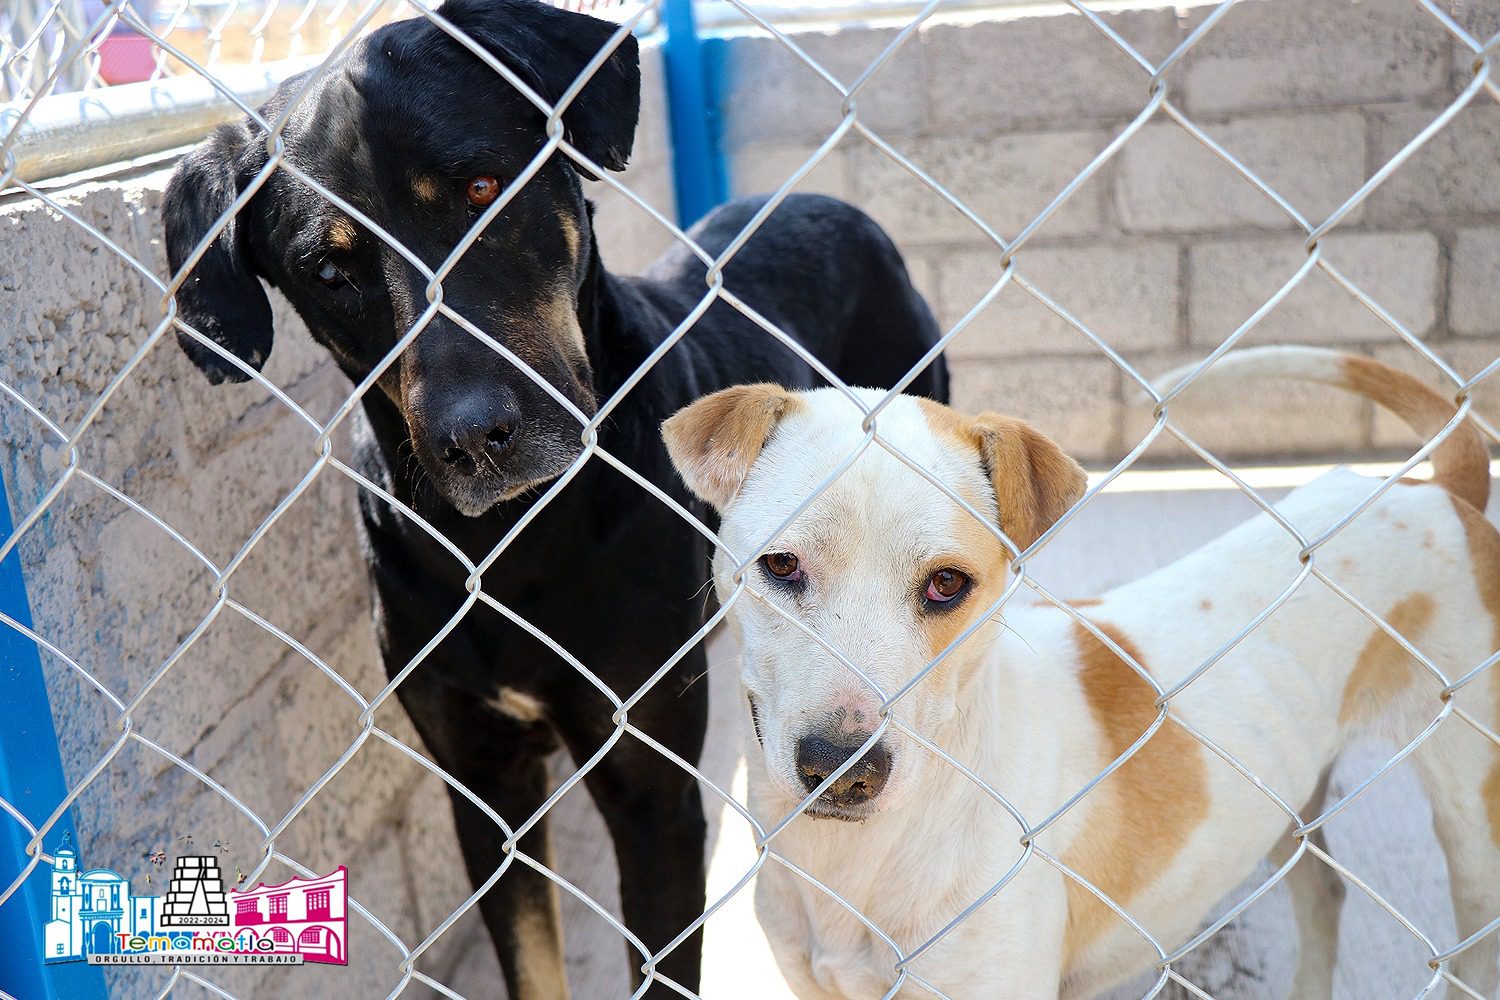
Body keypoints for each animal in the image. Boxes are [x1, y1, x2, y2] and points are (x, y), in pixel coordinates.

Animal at [164, 3, 948, 995]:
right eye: (327, 272)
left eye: (483, 188)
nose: (471, 437)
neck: (512, 542)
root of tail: (829, 202)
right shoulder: (482, 786)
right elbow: (529, 959)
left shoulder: (649, 792)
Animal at [669, 346, 1500, 1000]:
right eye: (781, 566)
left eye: (947, 584)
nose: (844, 771)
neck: (855, 864)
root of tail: (1439, 491)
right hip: (1288, 804)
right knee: (1323, 894)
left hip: (1473, 827)